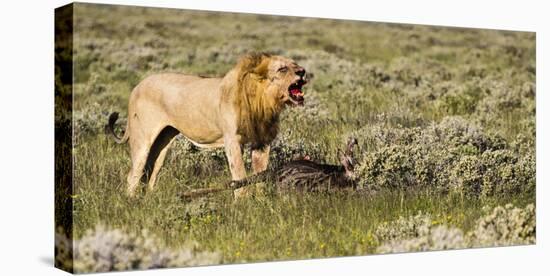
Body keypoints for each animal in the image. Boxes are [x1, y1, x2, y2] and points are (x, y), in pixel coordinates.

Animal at [105, 53, 308, 196]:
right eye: (282, 69)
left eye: (295, 64)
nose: (303, 71)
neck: (264, 100)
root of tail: (137, 86)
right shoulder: (232, 140)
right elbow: (240, 175)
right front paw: (242, 205)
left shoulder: (261, 142)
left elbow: (259, 174)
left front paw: (260, 201)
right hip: (143, 139)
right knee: (133, 175)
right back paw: (132, 203)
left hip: (163, 141)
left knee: (151, 173)